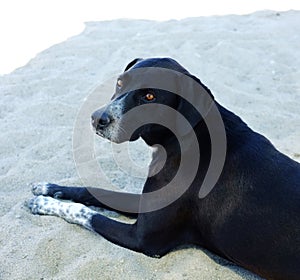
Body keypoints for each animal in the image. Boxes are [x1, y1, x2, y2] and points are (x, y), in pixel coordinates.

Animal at [28, 58, 300, 278]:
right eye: (119, 82)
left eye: (149, 97)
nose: (97, 119)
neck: (182, 138)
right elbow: (97, 192)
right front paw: (50, 188)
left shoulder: (143, 239)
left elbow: (88, 214)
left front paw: (45, 203)